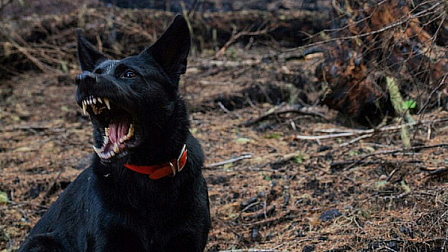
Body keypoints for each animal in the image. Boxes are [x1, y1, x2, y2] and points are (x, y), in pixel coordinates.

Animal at [19, 14, 212, 251]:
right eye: (96, 72)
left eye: (129, 74)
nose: (83, 78)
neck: (148, 171)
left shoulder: (189, 238)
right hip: (42, 243)